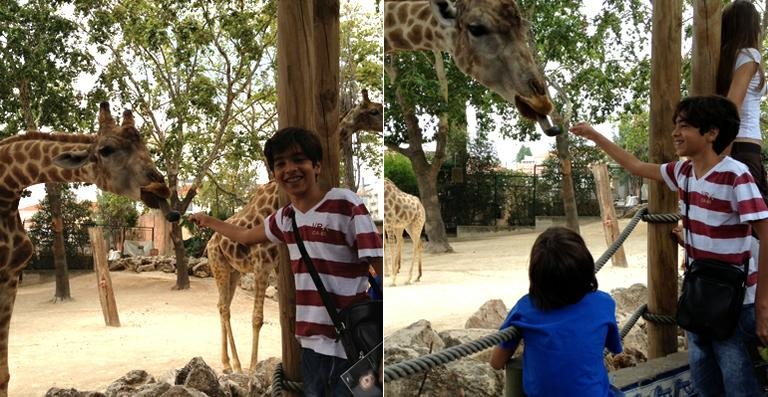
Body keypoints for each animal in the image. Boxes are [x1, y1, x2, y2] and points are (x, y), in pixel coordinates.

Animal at [0, 101, 171, 392]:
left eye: (145, 146)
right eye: (106, 150)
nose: (161, 190)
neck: (6, 190)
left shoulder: (11, 275)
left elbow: (4, 374)